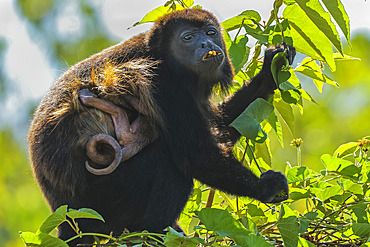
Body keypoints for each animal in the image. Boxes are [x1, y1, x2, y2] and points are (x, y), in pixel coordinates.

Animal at [28, 8, 294, 246]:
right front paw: (266, 188)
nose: (207, 45)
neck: (165, 59)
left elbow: (219, 128)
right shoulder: (162, 82)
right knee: (168, 162)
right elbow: (196, 156)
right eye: (188, 37)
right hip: (102, 205)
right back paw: (155, 233)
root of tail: (65, 218)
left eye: (211, 32)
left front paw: (271, 70)